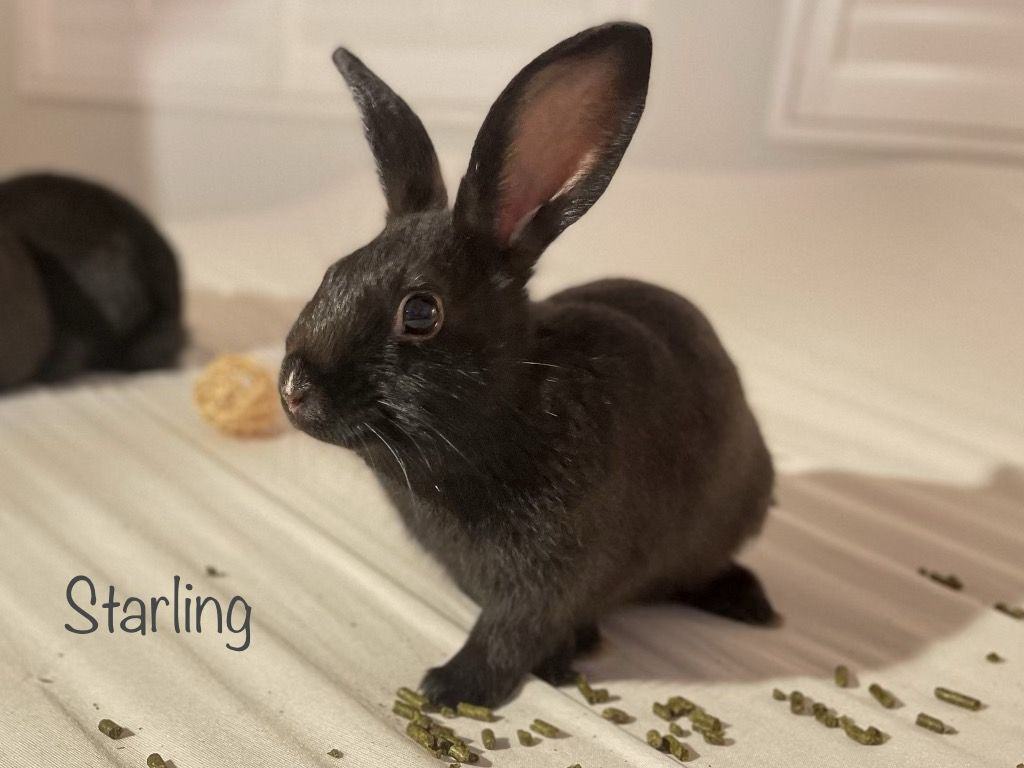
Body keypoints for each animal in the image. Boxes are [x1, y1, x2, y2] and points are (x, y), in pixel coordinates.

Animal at [280, 22, 777, 708]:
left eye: (420, 312)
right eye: (333, 273)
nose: (293, 388)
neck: (504, 416)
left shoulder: (550, 576)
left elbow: (509, 634)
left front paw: (450, 687)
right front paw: (564, 656)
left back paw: (751, 604)